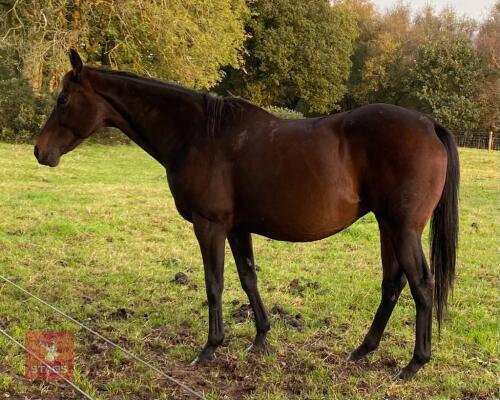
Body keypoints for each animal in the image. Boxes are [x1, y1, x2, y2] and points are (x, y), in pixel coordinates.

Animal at [33, 50, 458, 378]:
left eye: (63, 100)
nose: (40, 151)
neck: (198, 134)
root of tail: (429, 125)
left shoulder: (210, 226)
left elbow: (214, 284)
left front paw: (210, 347)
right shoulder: (237, 229)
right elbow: (248, 279)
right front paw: (261, 339)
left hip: (403, 229)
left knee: (421, 284)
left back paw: (413, 364)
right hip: (388, 227)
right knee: (392, 284)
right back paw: (363, 350)